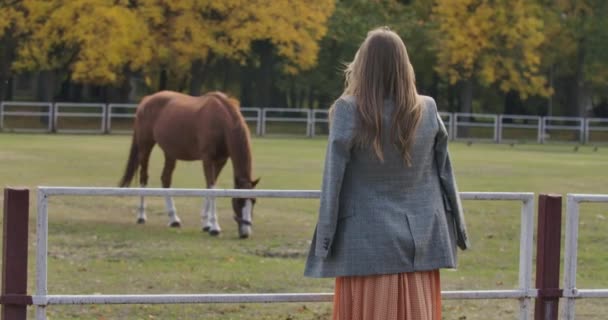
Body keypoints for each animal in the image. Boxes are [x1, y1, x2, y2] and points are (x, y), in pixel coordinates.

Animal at [118, 90, 258, 238]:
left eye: (254, 201)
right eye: (238, 201)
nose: (245, 233)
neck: (221, 120)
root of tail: (146, 100)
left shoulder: (221, 161)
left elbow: (208, 187)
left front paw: (206, 224)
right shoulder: (208, 159)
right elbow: (212, 188)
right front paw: (214, 227)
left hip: (170, 152)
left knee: (165, 179)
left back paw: (174, 219)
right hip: (145, 147)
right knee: (144, 177)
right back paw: (141, 216)